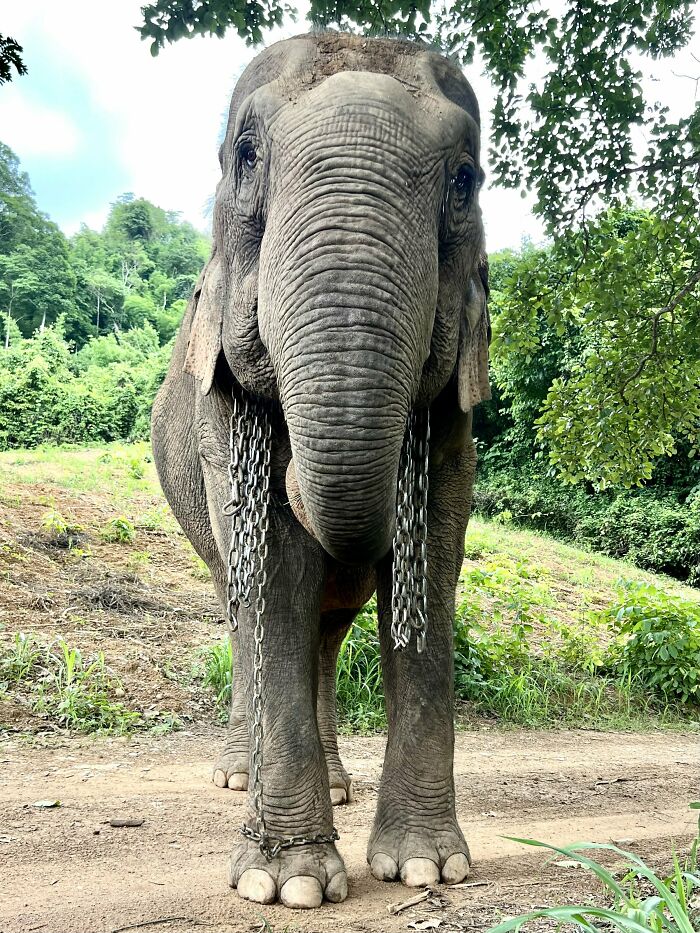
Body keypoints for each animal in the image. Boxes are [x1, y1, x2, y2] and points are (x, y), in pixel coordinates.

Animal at [151, 31, 490, 911]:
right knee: (243, 608)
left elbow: (431, 560)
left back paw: (337, 785)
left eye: (466, 180)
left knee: (326, 637)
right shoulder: (219, 423)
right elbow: (272, 573)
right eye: (245, 155)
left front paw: (426, 868)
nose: (299, 472)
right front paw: (286, 884)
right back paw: (239, 777)